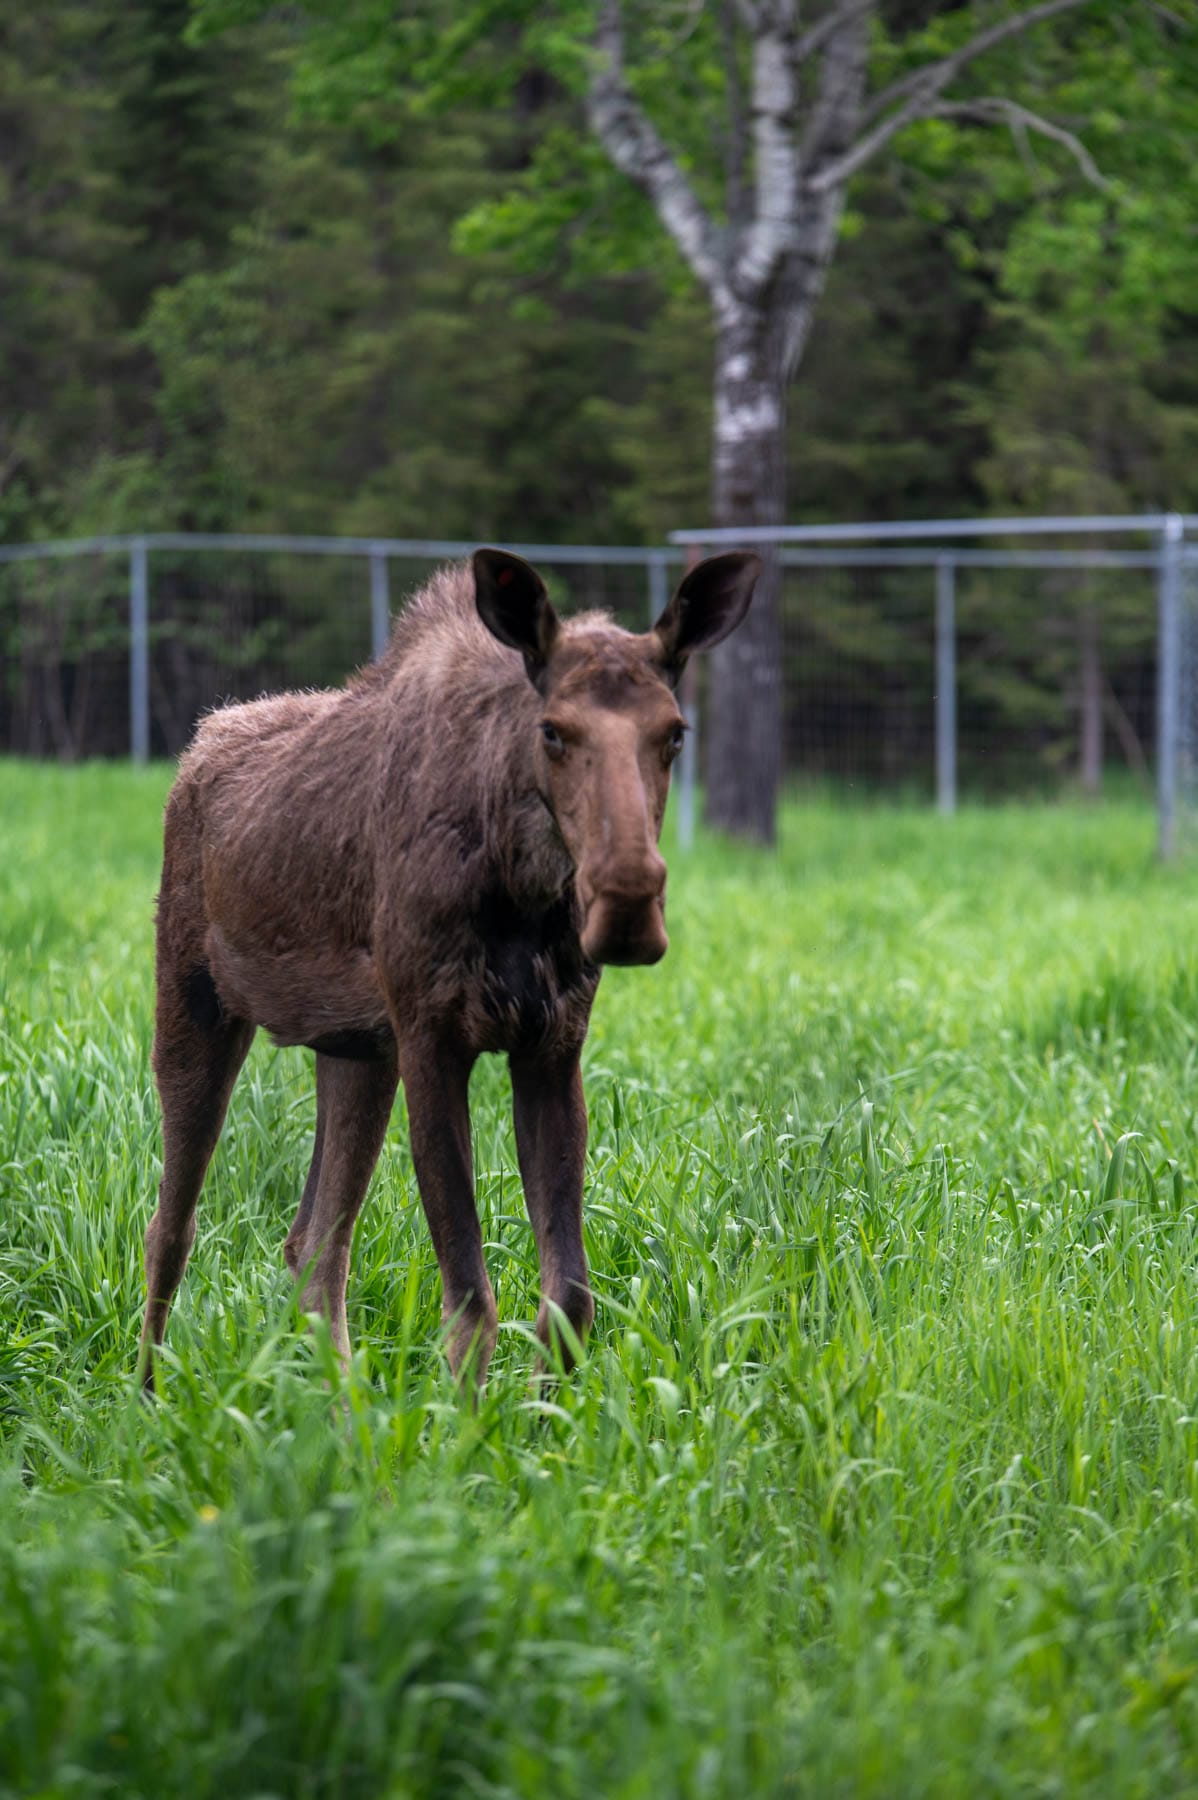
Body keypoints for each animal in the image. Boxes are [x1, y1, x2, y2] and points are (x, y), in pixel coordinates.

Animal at [139, 547, 759, 1390]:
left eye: (675, 733)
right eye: (553, 731)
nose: (627, 903)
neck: (522, 884)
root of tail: (196, 749)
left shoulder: (551, 1045)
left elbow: (569, 1299)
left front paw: (538, 1416)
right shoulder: (433, 1039)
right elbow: (471, 1301)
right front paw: (464, 1423)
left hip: (356, 1051)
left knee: (313, 1246)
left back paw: (345, 1405)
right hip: (195, 1004)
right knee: (172, 1228)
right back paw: (145, 1398)